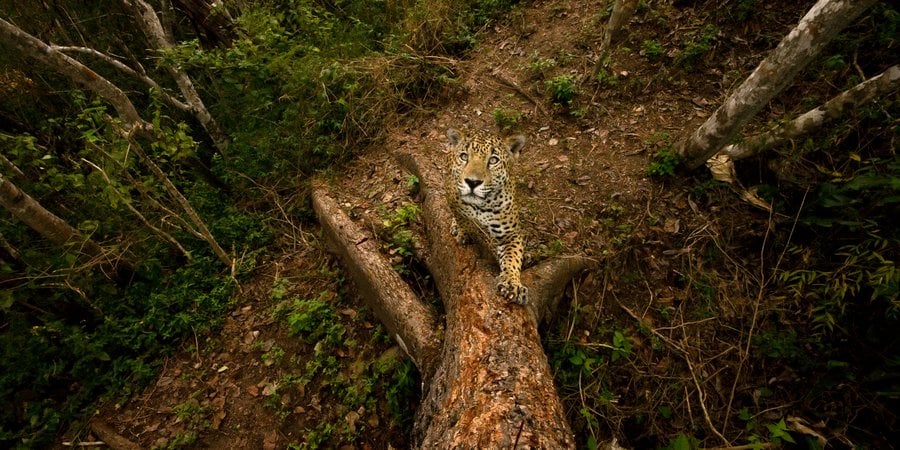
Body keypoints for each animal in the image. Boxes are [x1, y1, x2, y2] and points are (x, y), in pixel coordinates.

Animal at [446, 127, 528, 305]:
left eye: (493, 160)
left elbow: (513, 258)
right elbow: (463, 218)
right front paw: (464, 231)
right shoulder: (452, 196)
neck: (481, 206)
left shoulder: (511, 234)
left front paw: (512, 284)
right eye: (464, 156)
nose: (472, 182)